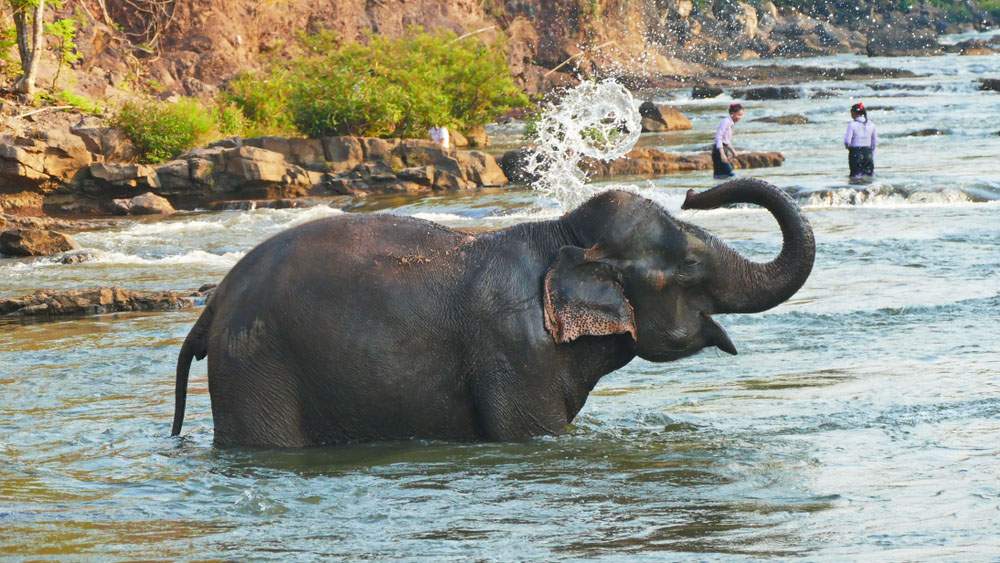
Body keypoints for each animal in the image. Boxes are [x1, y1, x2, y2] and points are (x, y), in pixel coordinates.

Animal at [172, 181, 812, 450]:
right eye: (688, 268)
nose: (694, 192)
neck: (561, 236)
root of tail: (214, 304)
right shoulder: (514, 351)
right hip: (257, 368)